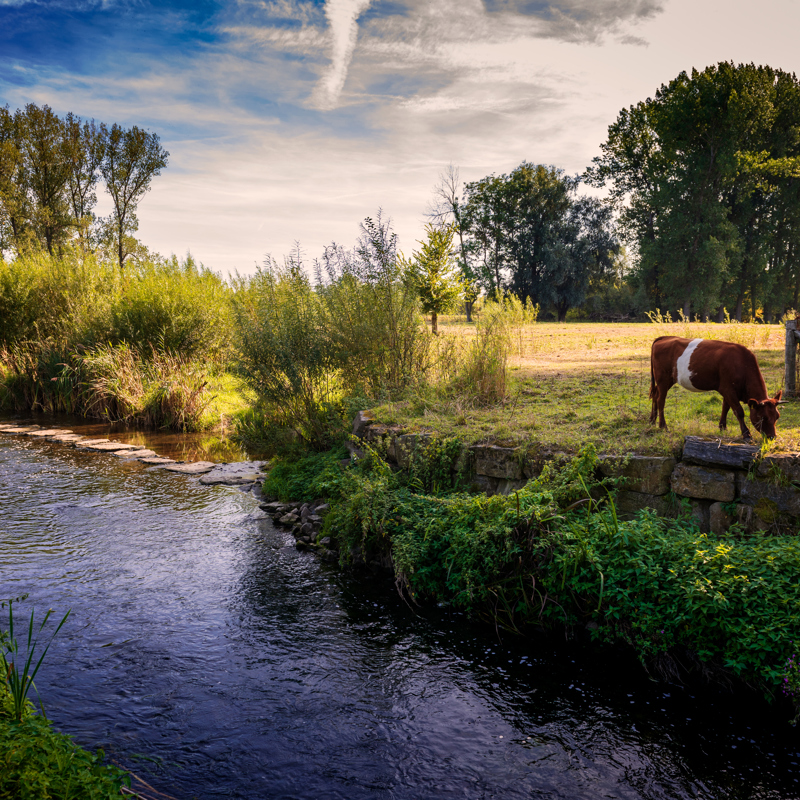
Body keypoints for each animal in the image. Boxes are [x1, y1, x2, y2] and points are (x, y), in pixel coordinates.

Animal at [648, 334, 784, 440]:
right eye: (763, 417)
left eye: (777, 416)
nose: (772, 437)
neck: (742, 365)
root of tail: (665, 337)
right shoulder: (727, 389)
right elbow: (739, 411)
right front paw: (746, 434)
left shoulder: (729, 390)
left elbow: (725, 408)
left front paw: (722, 427)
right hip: (663, 378)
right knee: (661, 400)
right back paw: (663, 426)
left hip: (669, 380)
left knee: (655, 395)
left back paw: (652, 421)